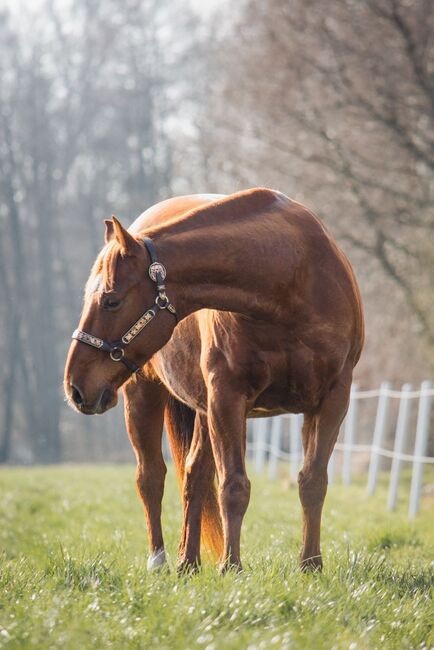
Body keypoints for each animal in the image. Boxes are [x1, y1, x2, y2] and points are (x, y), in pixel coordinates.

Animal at [63, 189, 362, 572]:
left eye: (111, 300)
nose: (75, 386)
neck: (293, 277)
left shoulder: (332, 400)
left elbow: (312, 481)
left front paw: (310, 564)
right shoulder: (227, 399)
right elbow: (234, 487)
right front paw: (230, 566)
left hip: (204, 414)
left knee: (195, 476)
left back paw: (188, 562)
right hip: (143, 394)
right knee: (151, 477)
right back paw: (159, 560)